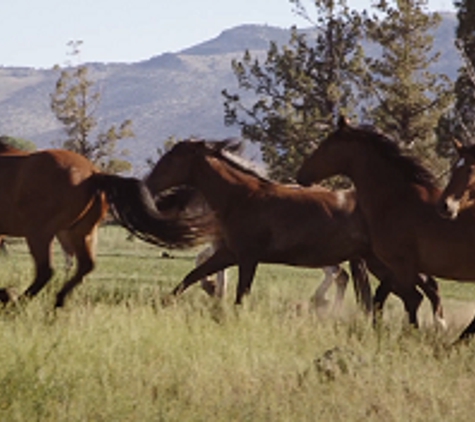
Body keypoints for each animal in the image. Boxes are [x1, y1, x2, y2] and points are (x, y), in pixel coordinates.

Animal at [0, 140, 208, 308]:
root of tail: (94, 174)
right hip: (81, 233)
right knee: (85, 266)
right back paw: (57, 300)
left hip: (41, 233)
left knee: (46, 271)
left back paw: (14, 302)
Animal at [145, 138, 446, 324]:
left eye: (171, 159)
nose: (147, 184)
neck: (241, 196)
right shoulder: (229, 252)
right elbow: (192, 276)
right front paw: (163, 303)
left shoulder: (247, 257)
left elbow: (240, 294)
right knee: (418, 291)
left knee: (417, 292)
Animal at [298, 118, 475, 340]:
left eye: (325, 146)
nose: (301, 175)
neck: (396, 199)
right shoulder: (394, 266)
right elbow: (381, 297)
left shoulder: (400, 264)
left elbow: (410, 299)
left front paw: (408, 336)